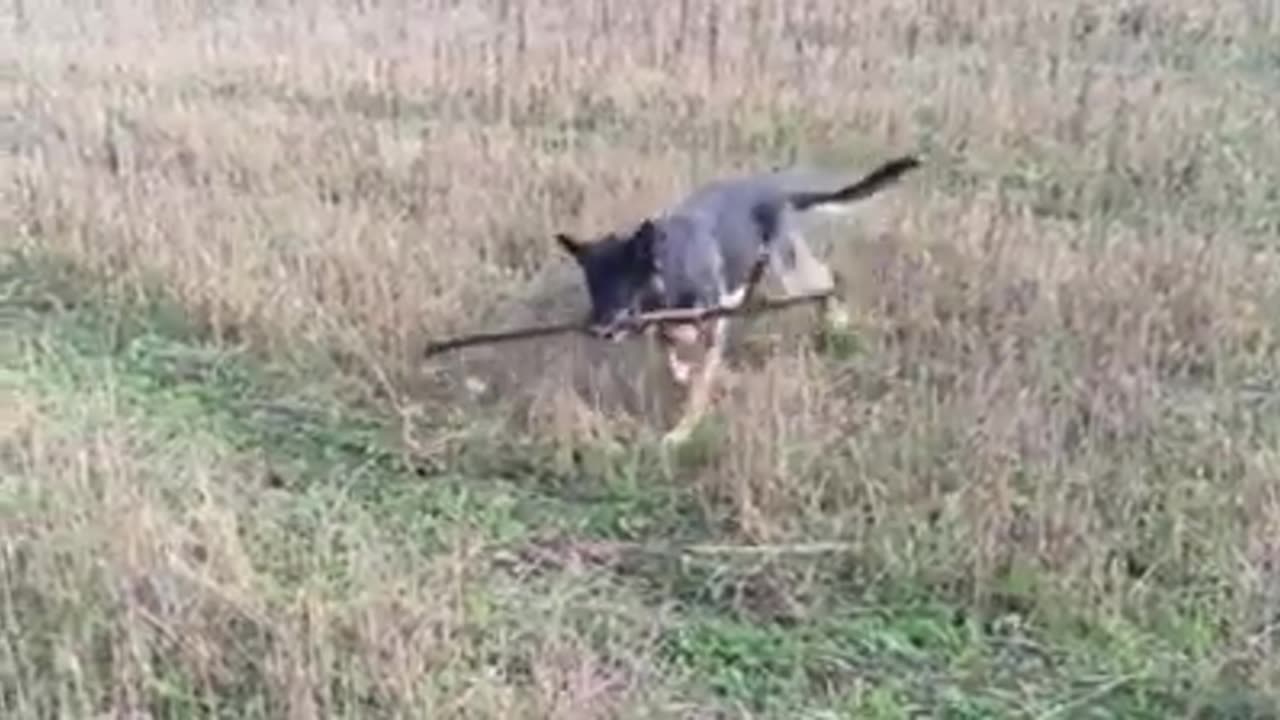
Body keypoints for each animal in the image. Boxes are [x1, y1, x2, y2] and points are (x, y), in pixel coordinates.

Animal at [555, 154, 916, 440]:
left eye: (623, 285)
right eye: (593, 286)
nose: (597, 329)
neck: (670, 273)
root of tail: (772, 188)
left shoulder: (710, 332)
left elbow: (699, 387)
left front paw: (682, 432)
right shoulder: (669, 330)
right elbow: (673, 359)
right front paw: (685, 374)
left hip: (786, 266)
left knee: (823, 279)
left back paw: (837, 322)